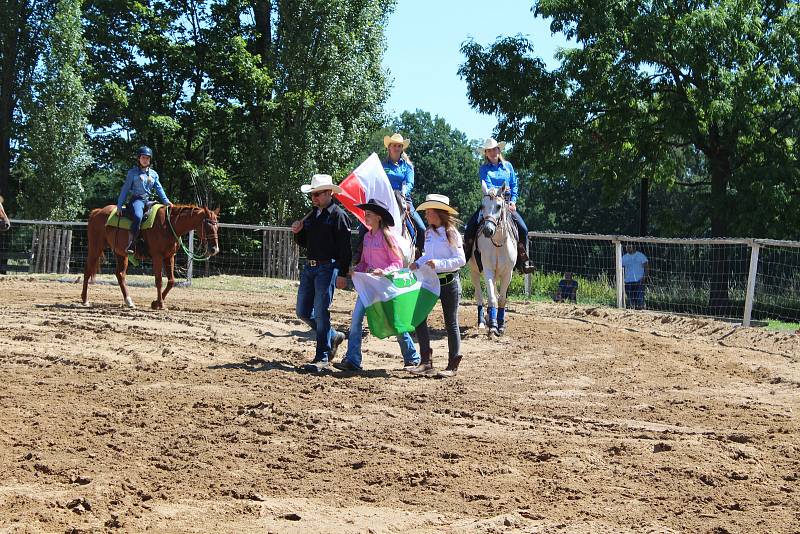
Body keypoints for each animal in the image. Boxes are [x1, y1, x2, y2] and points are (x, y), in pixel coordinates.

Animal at [82, 206, 219, 314]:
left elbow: (171, 281)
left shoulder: (169, 256)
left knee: (120, 274)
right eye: (207, 225)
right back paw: (85, 300)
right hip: (95, 247)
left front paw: (156, 302)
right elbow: (159, 281)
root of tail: (97, 211)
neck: (168, 226)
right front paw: (161, 304)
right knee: (87, 271)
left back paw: (129, 301)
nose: (214, 249)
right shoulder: (157, 256)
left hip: (120, 253)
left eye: (217, 225)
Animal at [466, 183, 516, 336]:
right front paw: (493, 327)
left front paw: (501, 325)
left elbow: (501, 299)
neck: (498, 244)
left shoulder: (507, 273)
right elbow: (492, 298)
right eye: (482, 206)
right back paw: (482, 322)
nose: (488, 230)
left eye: (499, 206)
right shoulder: (488, 270)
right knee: (480, 296)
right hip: (475, 272)